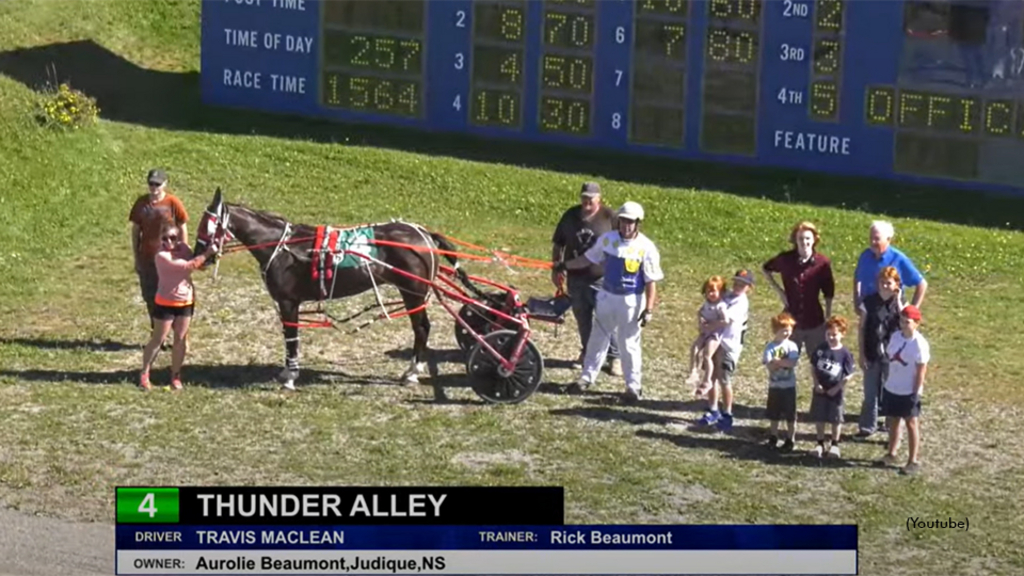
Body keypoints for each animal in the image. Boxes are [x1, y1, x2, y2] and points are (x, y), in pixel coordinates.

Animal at [191, 188, 460, 389]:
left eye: (206, 225)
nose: (198, 257)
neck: (284, 247)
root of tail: (423, 233)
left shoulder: (288, 302)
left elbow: (291, 337)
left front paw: (290, 377)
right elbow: (289, 336)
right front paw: (286, 372)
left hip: (413, 294)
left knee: (422, 328)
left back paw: (412, 372)